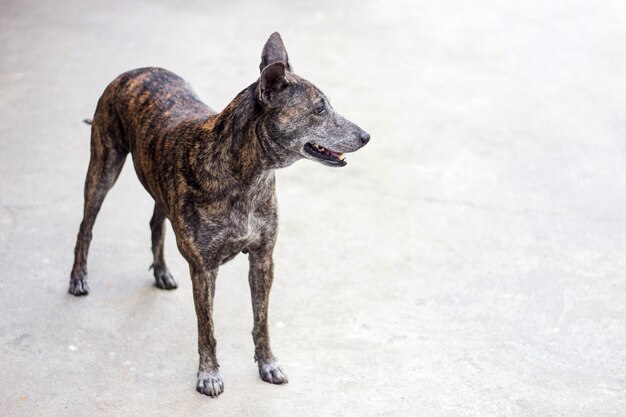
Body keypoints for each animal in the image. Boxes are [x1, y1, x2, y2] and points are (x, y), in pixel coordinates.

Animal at [68, 32, 368, 396]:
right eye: (319, 109)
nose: (366, 136)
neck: (247, 173)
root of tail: (135, 71)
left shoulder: (263, 258)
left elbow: (261, 320)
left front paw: (268, 363)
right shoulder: (204, 269)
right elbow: (207, 328)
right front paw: (208, 374)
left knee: (155, 223)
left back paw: (161, 272)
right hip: (104, 166)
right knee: (86, 225)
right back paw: (78, 277)